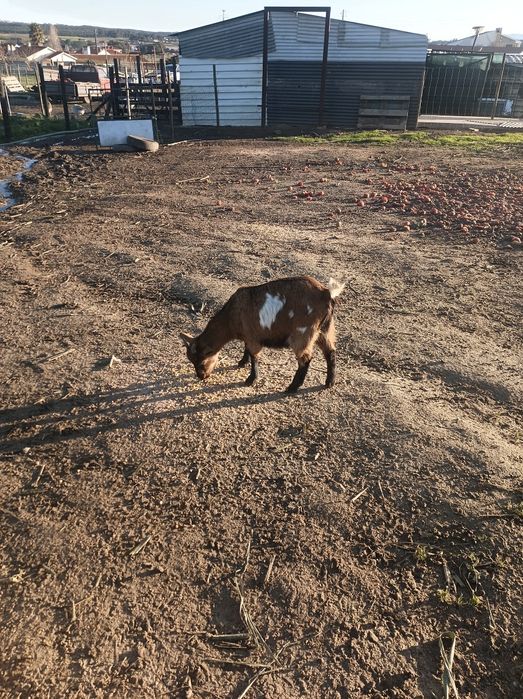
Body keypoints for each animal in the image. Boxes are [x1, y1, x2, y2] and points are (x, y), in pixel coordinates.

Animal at [180, 276, 344, 393]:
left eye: (201, 362)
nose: (201, 376)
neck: (233, 315)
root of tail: (326, 293)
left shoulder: (253, 338)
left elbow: (254, 357)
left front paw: (251, 379)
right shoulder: (248, 336)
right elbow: (246, 349)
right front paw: (242, 362)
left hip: (303, 333)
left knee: (305, 359)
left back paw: (292, 388)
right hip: (325, 329)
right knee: (330, 352)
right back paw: (329, 382)